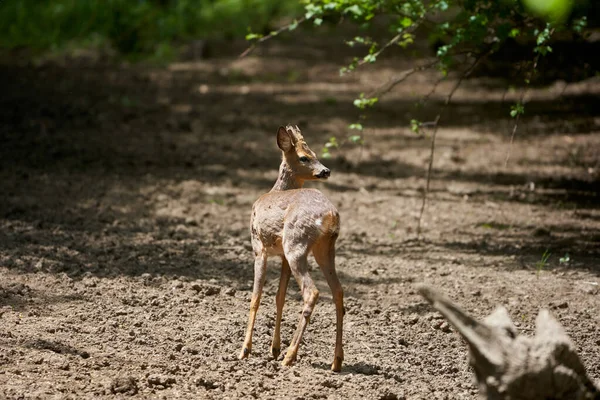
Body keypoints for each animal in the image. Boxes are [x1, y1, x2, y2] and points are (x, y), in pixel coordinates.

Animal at [237, 124, 344, 372]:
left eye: (314, 154)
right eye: (305, 156)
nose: (326, 171)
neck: (275, 190)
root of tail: (331, 215)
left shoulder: (259, 247)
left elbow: (256, 297)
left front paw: (245, 350)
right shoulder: (281, 256)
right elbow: (280, 296)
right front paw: (273, 349)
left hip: (296, 244)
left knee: (312, 292)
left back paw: (290, 356)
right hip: (324, 249)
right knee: (338, 291)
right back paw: (336, 361)